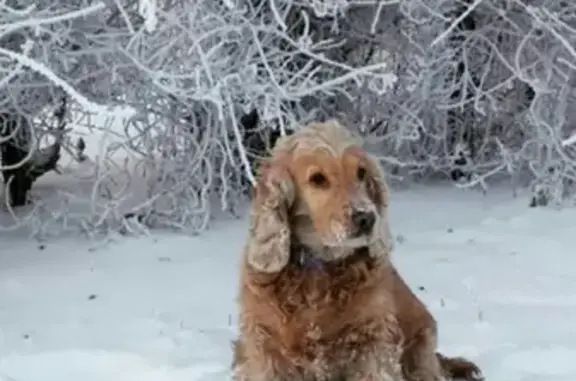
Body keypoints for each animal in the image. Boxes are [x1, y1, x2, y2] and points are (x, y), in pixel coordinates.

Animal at [230, 119, 482, 380]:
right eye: (317, 178)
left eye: (361, 173)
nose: (366, 218)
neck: (318, 272)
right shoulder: (266, 348)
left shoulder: (371, 343)